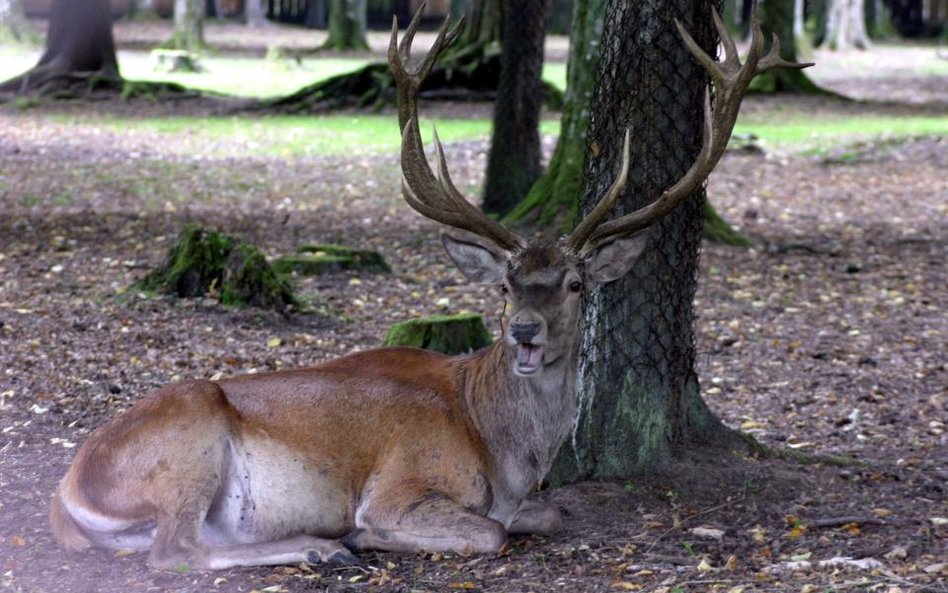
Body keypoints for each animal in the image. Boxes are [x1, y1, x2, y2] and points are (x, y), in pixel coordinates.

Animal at [50, 3, 808, 568]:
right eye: (505, 285)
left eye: (573, 283)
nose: (524, 331)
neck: (501, 450)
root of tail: (67, 488)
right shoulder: (401, 479)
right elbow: (489, 530)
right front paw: (365, 533)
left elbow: (552, 513)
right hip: (191, 442)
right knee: (174, 551)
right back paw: (327, 546)